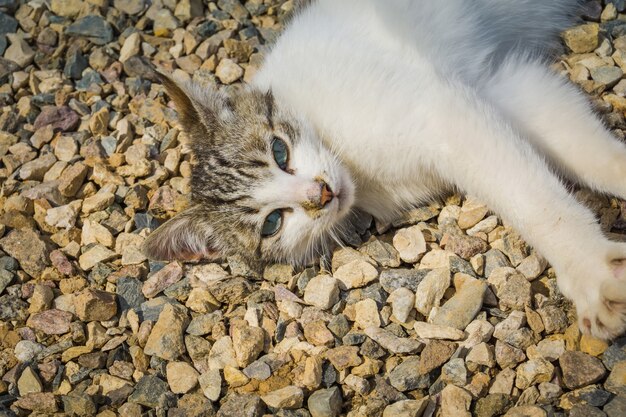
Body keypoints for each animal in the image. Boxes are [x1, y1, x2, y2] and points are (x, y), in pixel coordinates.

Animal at [144, 0, 624, 338]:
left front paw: (591, 273)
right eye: (272, 223)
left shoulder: (442, 111)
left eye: (280, 152)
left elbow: (536, 201)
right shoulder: (496, 87)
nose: (320, 194)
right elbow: (578, 149)